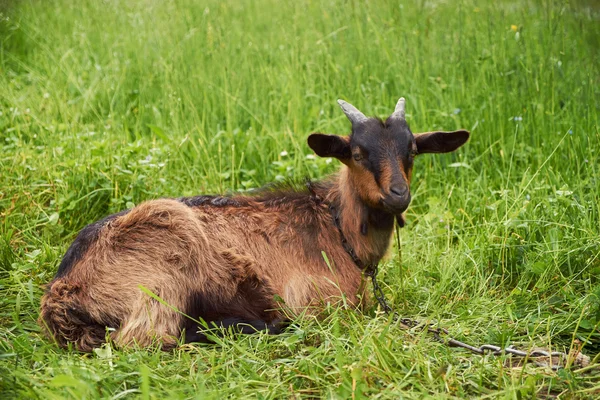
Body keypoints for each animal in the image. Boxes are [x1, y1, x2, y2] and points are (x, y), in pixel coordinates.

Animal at [39, 98, 468, 352]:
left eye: (412, 150)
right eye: (358, 153)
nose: (398, 194)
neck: (334, 226)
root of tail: (61, 290)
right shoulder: (318, 299)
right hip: (163, 265)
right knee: (142, 339)